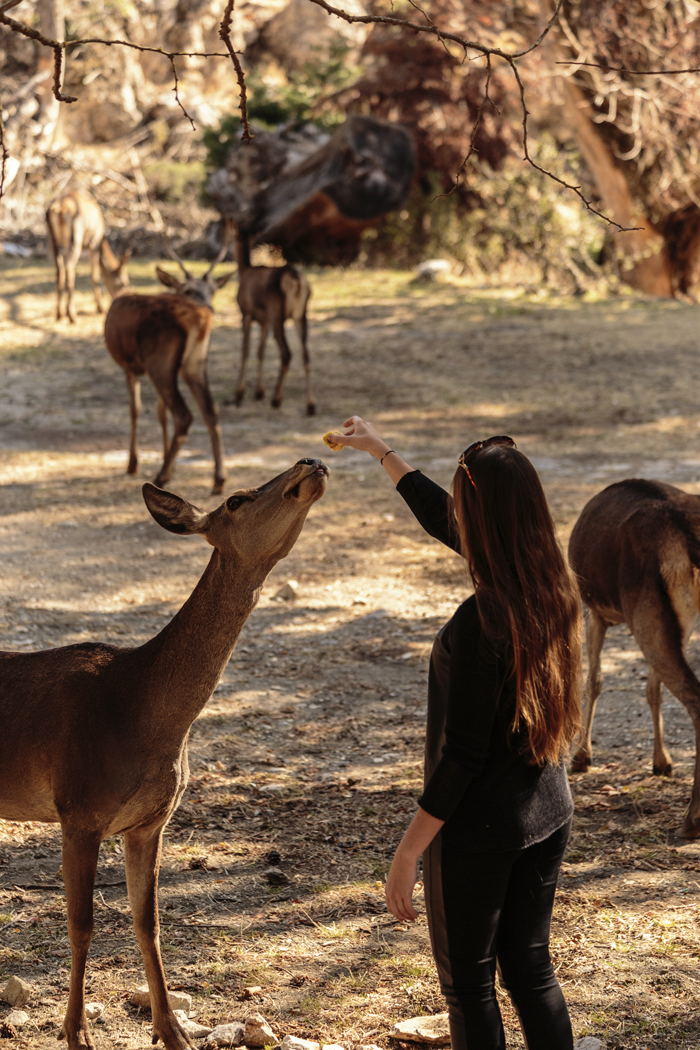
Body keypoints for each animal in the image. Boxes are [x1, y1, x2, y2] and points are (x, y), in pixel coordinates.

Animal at [0, 458, 328, 1050]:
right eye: (238, 499)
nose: (310, 463)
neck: (143, 715)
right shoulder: (77, 809)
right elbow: (81, 925)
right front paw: (76, 1033)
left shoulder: (150, 822)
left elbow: (147, 921)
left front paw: (173, 1030)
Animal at [46, 190, 130, 323]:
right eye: (125, 282)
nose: (124, 296)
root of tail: (59, 209)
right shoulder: (94, 241)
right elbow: (95, 275)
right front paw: (100, 308)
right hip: (75, 240)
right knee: (69, 268)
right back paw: (72, 315)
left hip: (52, 240)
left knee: (59, 270)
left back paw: (59, 313)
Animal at [104, 236, 233, 495]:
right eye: (188, 289)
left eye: (213, 291)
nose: (211, 306)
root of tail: (200, 318)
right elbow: (161, 412)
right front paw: (168, 462)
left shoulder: (130, 366)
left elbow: (136, 409)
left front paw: (133, 464)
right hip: (194, 364)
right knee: (211, 410)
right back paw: (218, 479)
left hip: (160, 363)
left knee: (183, 414)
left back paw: (160, 477)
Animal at [230, 232, 314, 415]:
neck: (244, 270)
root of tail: (295, 280)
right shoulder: (264, 320)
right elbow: (260, 351)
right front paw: (259, 392)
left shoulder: (246, 313)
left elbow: (245, 350)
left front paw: (239, 393)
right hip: (301, 315)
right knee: (306, 354)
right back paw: (310, 405)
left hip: (277, 314)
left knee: (287, 353)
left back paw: (276, 399)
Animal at [568, 477, 700, 839]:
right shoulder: (681, 625)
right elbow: (652, 690)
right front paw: (662, 762)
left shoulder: (594, 608)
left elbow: (594, 680)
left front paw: (581, 757)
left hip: (644, 609)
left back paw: (691, 820)